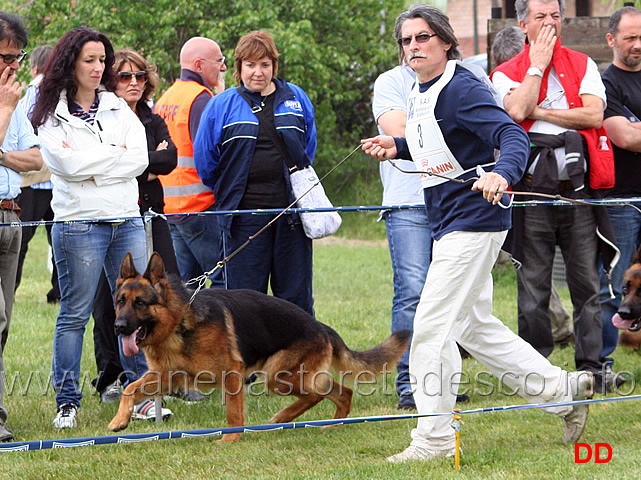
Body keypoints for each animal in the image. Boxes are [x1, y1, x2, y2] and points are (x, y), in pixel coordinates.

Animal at [108, 253, 410, 440]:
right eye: (120, 301)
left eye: (140, 303)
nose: (118, 327)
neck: (178, 323)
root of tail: (321, 326)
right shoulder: (168, 377)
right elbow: (131, 389)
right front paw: (119, 420)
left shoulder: (231, 374)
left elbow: (233, 414)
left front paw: (229, 441)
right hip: (290, 377)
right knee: (341, 391)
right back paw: (332, 423)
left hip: (278, 377)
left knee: (318, 394)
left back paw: (284, 417)